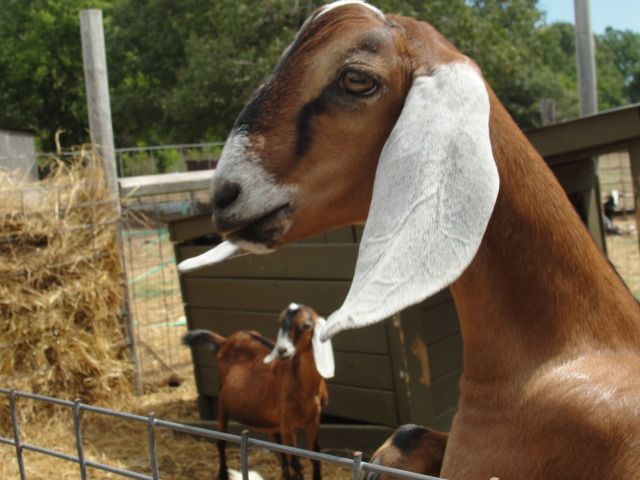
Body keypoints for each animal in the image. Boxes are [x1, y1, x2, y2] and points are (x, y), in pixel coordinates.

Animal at [182, 303, 333, 480]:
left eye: (306, 326)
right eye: (280, 322)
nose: (282, 350)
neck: (307, 389)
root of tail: (225, 341)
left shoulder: (314, 419)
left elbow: (315, 457)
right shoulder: (287, 424)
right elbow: (297, 465)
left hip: (270, 423)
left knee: (282, 459)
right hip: (222, 402)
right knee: (221, 440)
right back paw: (223, 474)